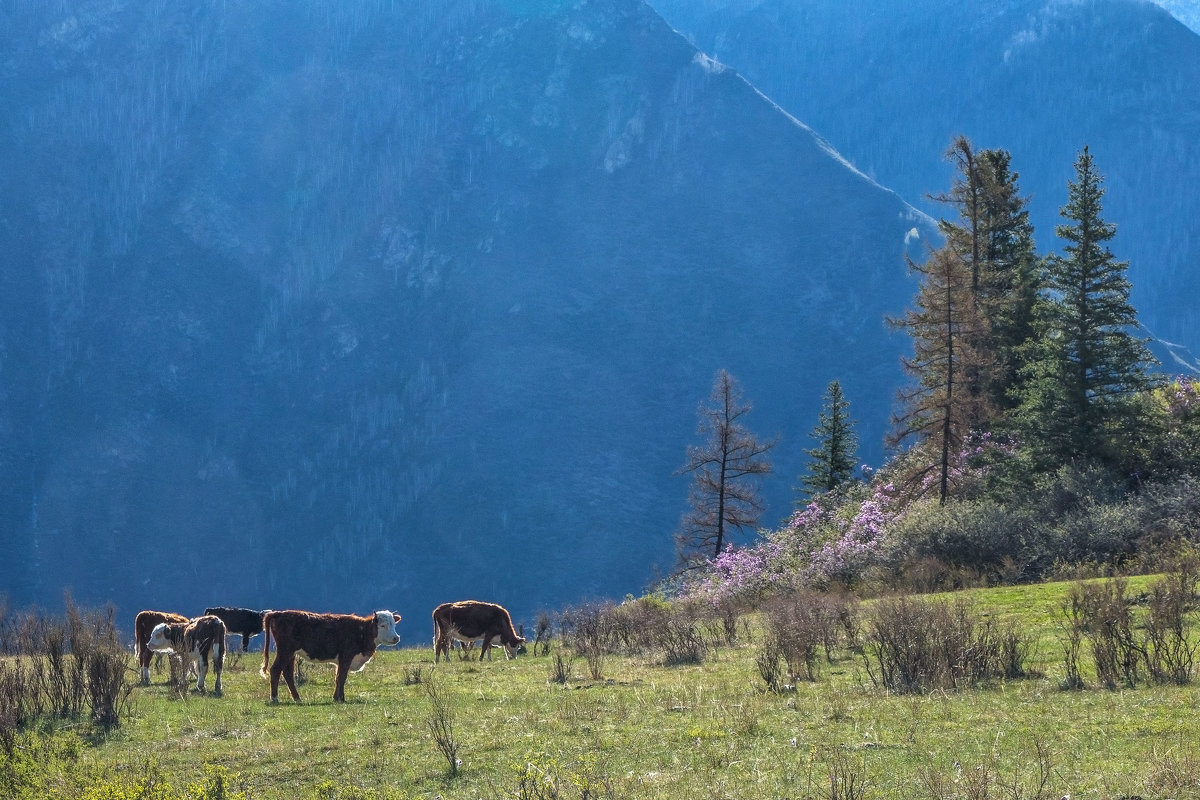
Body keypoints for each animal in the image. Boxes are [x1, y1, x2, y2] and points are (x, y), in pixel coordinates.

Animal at [256, 609, 398, 705]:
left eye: (394, 624)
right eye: (383, 625)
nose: (396, 638)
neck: (361, 631)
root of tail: (279, 613)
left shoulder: (342, 660)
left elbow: (339, 678)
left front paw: (341, 697)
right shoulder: (346, 656)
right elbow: (341, 678)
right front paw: (337, 699)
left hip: (291, 653)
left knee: (288, 673)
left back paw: (297, 698)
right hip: (285, 651)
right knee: (275, 670)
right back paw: (274, 698)